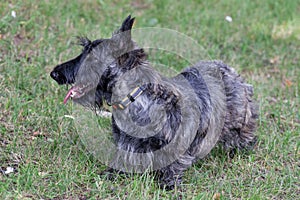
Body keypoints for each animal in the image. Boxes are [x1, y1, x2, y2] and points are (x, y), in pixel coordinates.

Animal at [49, 15, 258, 189]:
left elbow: (173, 164)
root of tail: (226, 68)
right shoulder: (125, 143)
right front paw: (111, 174)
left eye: (89, 54)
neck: (134, 99)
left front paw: (168, 184)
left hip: (240, 120)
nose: (54, 73)